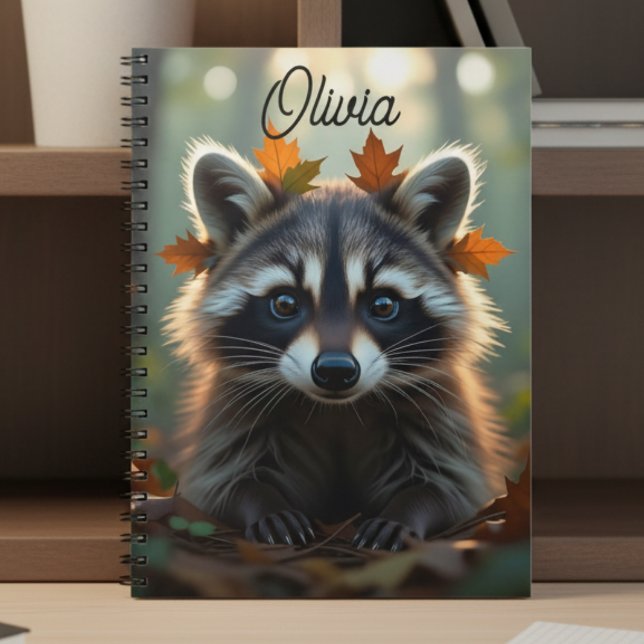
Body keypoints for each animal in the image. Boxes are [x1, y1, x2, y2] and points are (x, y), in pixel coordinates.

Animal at [165, 137, 512, 551]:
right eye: (285, 303)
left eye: (383, 305)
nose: (335, 370)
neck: (337, 410)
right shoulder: (233, 411)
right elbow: (222, 482)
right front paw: (264, 505)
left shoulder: (441, 411)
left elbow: (451, 486)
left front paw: (406, 512)